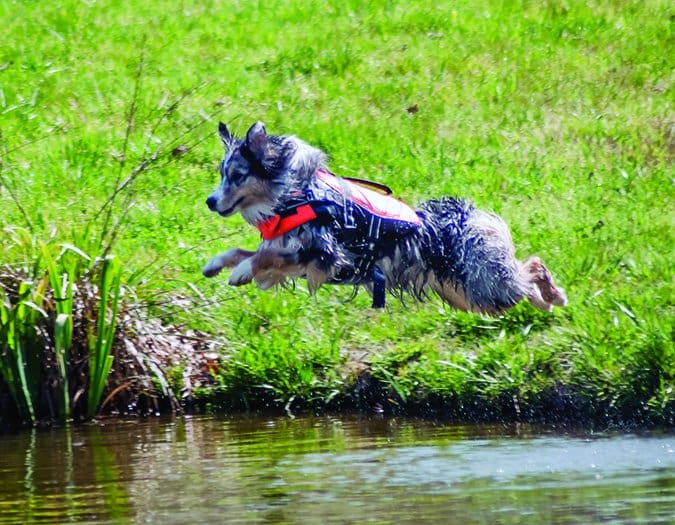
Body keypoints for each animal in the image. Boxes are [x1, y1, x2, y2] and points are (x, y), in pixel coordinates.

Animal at [203, 121, 568, 314]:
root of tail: (468, 217)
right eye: (222, 174)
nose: (209, 201)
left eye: (237, 176)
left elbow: (262, 257)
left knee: (532, 268)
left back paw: (553, 295)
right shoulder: (293, 256)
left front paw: (240, 272)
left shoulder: (325, 254)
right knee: (525, 277)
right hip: (469, 296)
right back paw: (547, 301)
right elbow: (247, 252)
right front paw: (217, 264)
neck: (295, 195)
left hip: (486, 285)